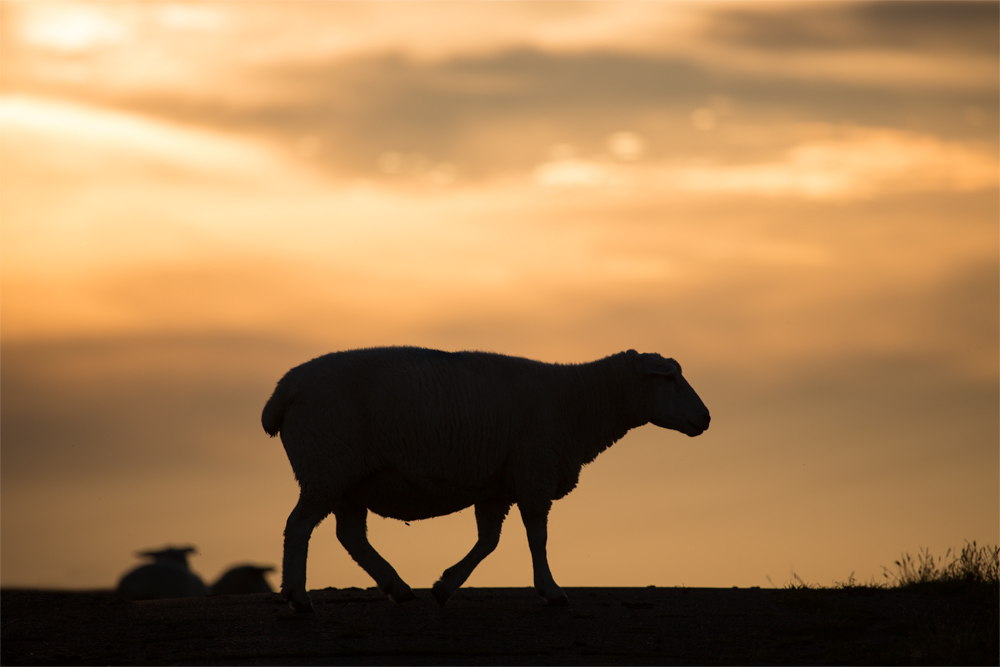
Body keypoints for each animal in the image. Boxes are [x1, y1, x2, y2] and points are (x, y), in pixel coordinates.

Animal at [262, 348, 708, 612]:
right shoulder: (534, 473)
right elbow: (537, 538)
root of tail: (282, 392)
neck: (581, 401)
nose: (705, 419)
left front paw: (445, 586)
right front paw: (551, 591)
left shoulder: (497, 486)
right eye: (670, 378)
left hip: (347, 482)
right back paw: (298, 598)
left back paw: (397, 586)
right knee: (298, 527)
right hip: (325, 468)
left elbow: (488, 542)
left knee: (351, 536)